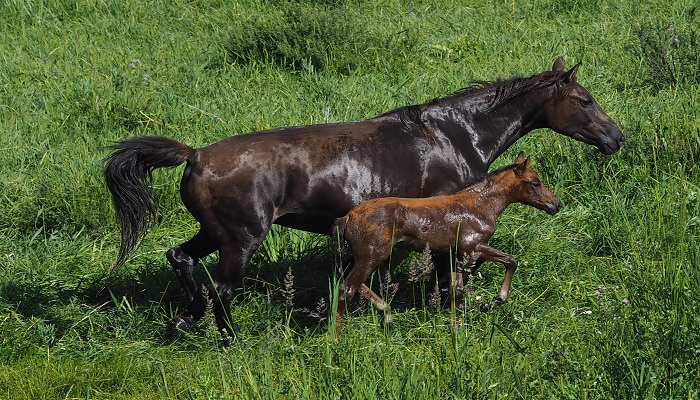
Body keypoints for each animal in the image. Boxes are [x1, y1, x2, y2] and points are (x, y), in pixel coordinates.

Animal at [330, 152, 560, 336]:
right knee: (346, 288)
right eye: (535, 182)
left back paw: (387, 315)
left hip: (363, 256)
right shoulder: (471, 248)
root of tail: (347, 218)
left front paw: (456, 323)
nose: (556, 205)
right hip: (372, 255)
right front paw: (495, 300)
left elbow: (455, 288)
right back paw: (337, 337)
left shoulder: (455, 255)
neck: (479, 206)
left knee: (349, 281)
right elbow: (511, 261)